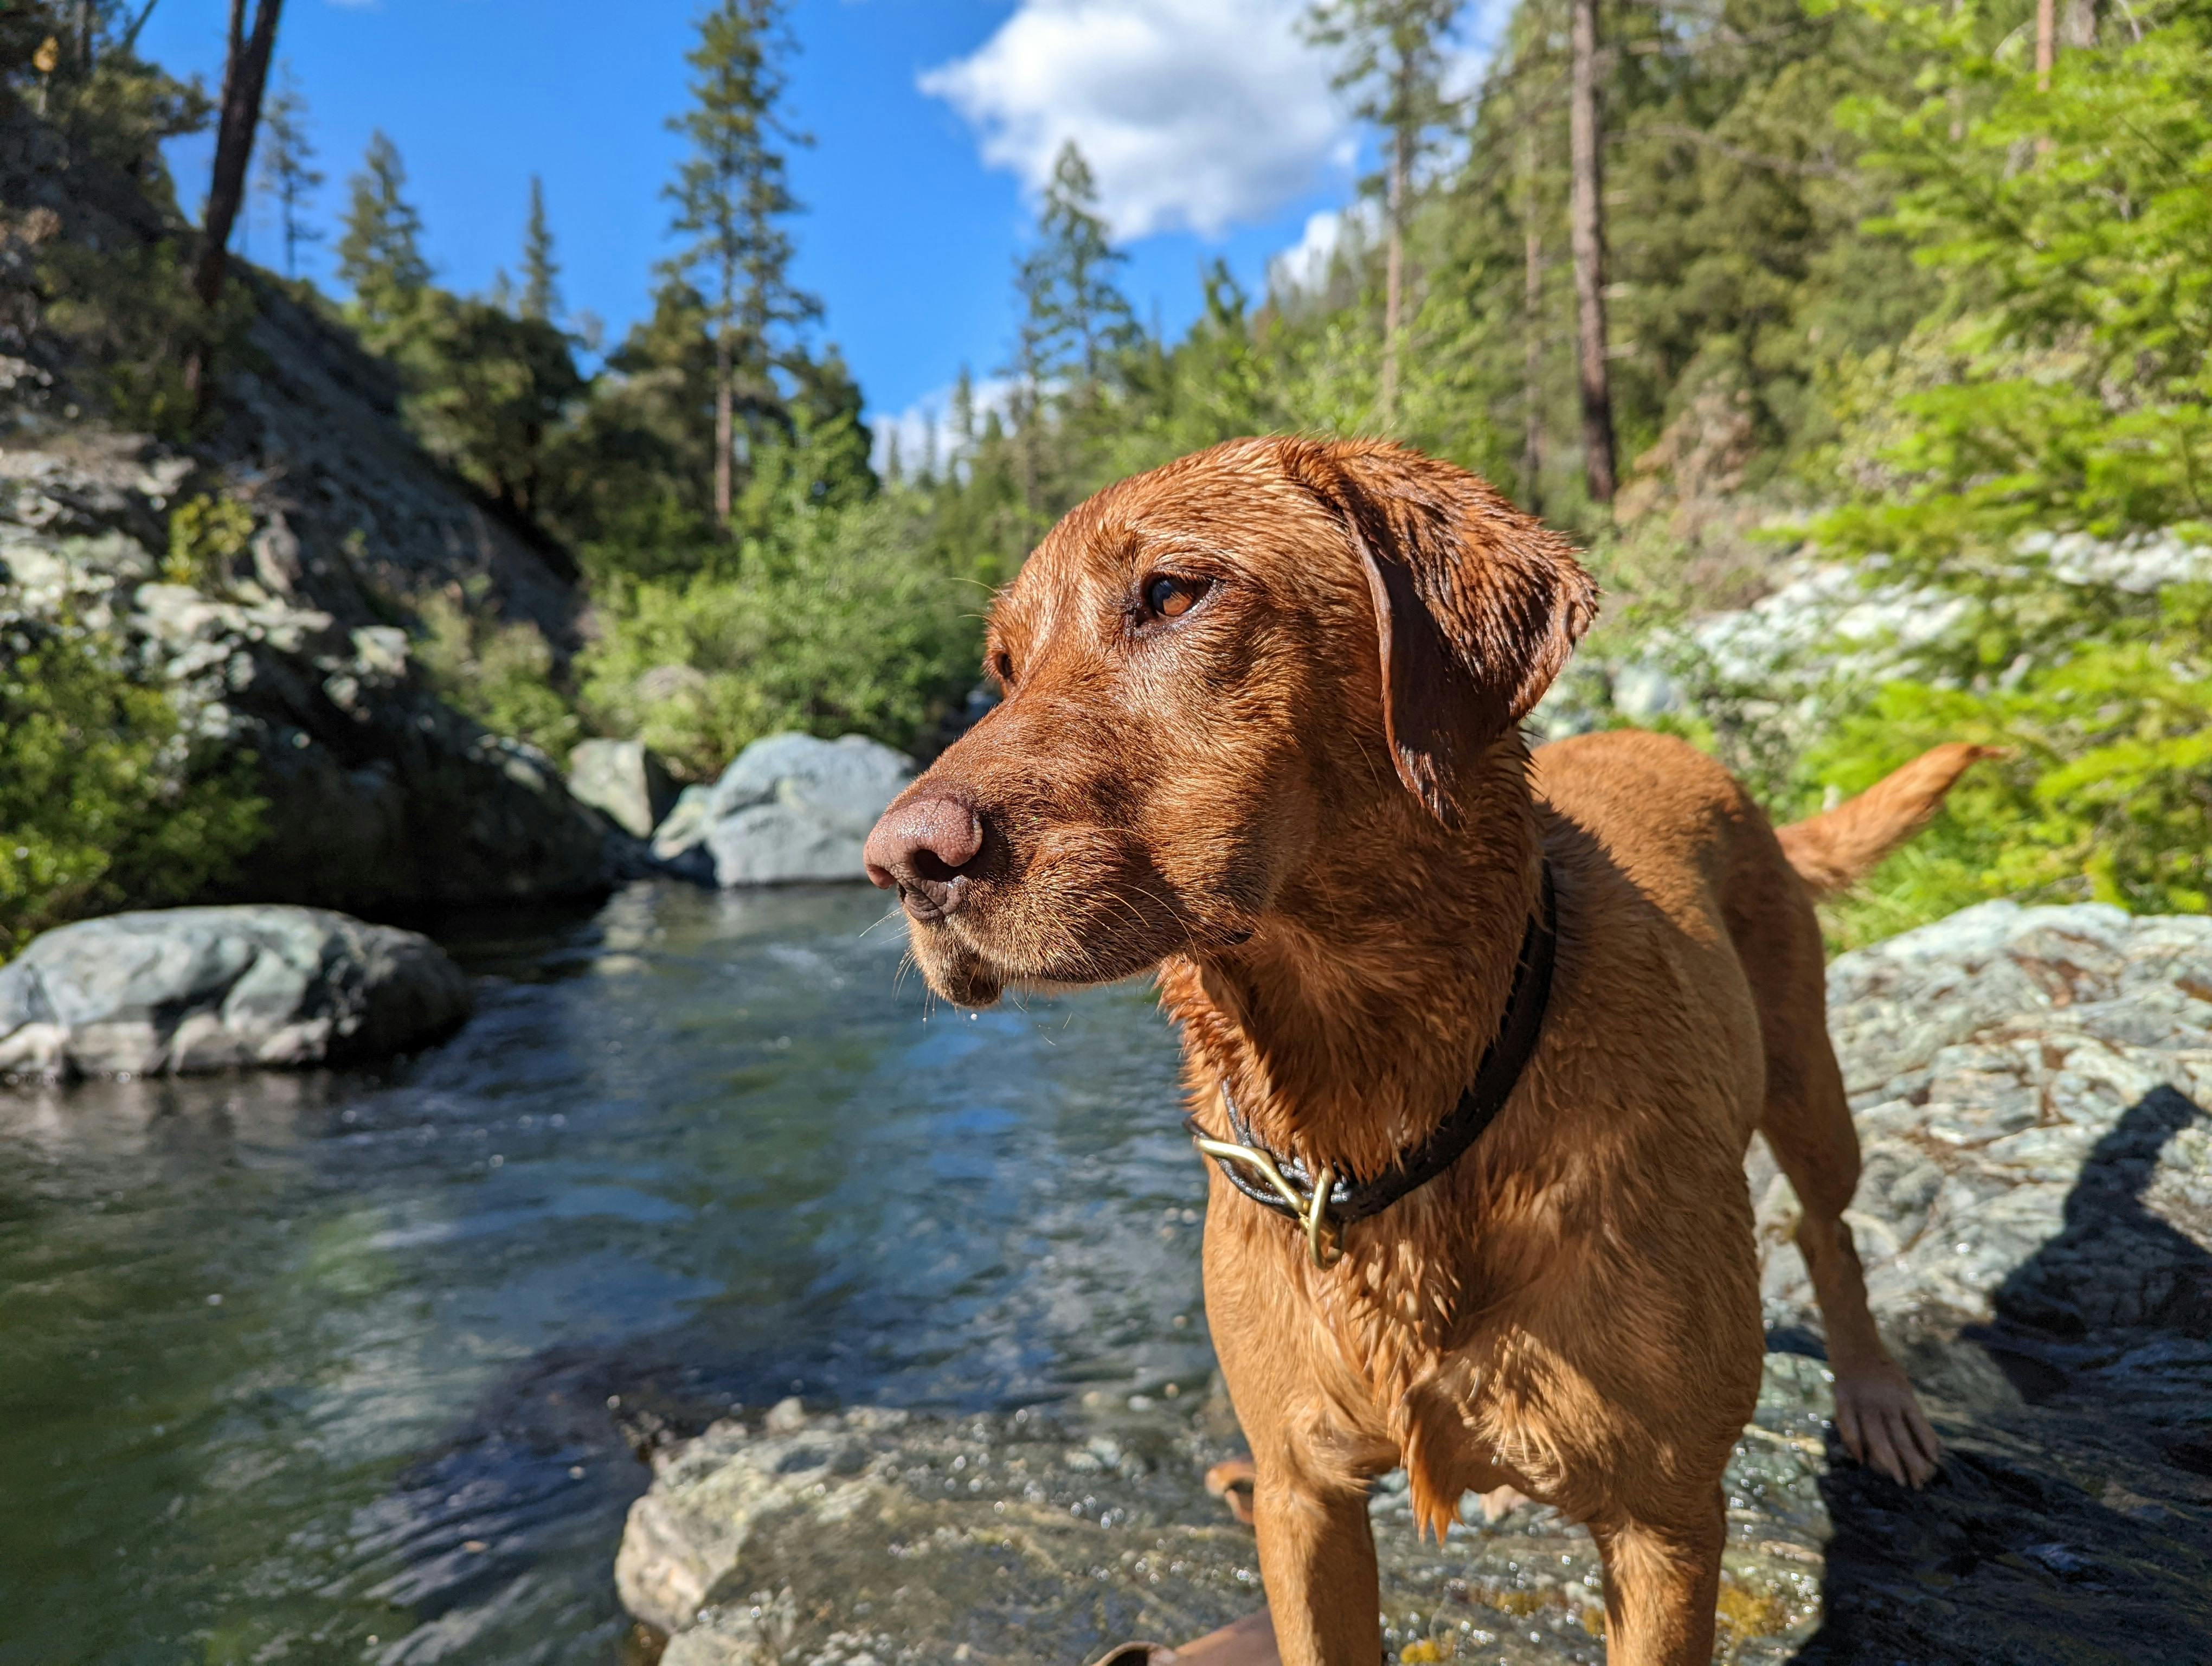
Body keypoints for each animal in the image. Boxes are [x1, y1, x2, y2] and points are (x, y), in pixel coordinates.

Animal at [863, 438, 1991, 1663]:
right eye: (1005, 666)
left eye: (1172, 592)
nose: (903, 861)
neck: (1371, 1101)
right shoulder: (1301, 1498)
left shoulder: (1669, 1524)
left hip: (1809, 1081)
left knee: (1828, 1227)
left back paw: (1878, 1397)